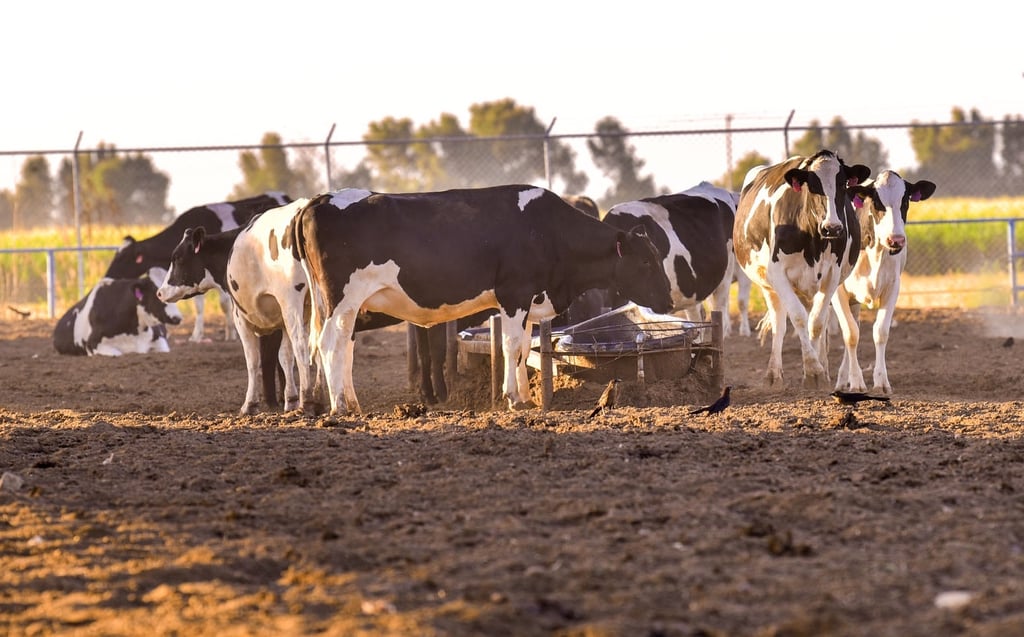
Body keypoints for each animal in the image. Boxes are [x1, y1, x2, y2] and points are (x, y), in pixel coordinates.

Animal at [106, 192, 290, 344]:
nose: (106, 277)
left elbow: (224, 304)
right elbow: (199, 307)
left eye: (123, 258)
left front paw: (230, 334)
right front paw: (196, 335)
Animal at [288, 184, 671, 417]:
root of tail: (318, 200)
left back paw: (351, 401)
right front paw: (513, 398)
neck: (547, 230)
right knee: (330, 344)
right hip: (341, 299)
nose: (668, 299)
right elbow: (511, 346)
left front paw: (525, 396)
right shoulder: (513, 293)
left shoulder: (527, 300)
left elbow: (522, 348)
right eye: (646, 261)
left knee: (341, 346)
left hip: (344, 307)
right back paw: (340, 405)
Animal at [737, 150, 872, 389]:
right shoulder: (777, 275)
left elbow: (816, 323)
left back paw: (823, 366)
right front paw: (812, 370)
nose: (832, 228)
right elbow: (798, 318)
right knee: (779, 323)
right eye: (813, 185)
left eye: (842, 184)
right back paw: (774, 374)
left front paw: (816, 371)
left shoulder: (831, 275)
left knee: (818, 320)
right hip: (767, 285)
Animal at [831, 172, 937, 397]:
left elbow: (879, 332)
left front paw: (881, 382)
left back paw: (842, 378)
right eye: (876, 202)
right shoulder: (837, 290)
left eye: (905, 201)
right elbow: (851, 334)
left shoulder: (892, 288)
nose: (895, 240)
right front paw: (857, 382)